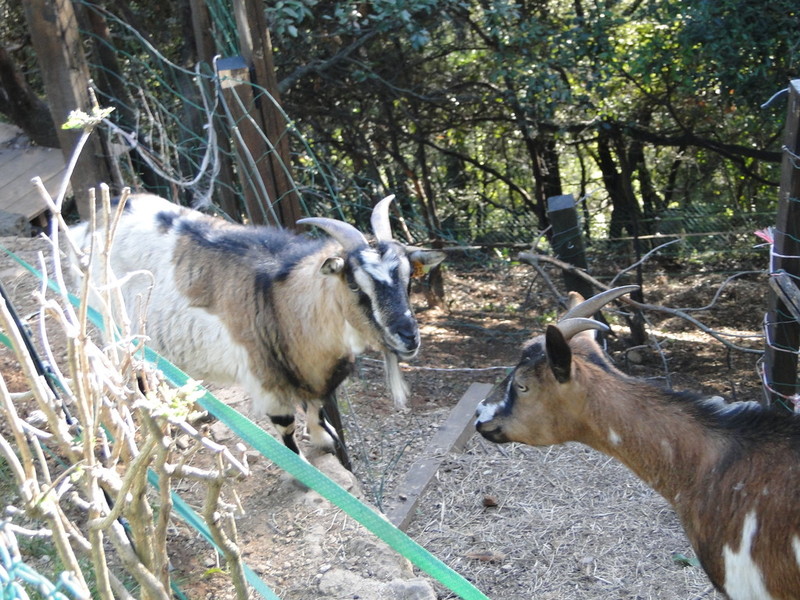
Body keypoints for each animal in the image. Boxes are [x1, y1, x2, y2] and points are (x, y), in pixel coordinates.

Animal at [71, 193, 445, 459]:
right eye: (355, 286)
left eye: (408, 279)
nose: (408, 336)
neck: (285, 301)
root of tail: (91, 222)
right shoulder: (266, 380)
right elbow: (286, 426)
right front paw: (301, 470)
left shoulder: (312, 373)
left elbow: (316, 406)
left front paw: (325, 440)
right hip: (113, 323)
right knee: (134, 371)